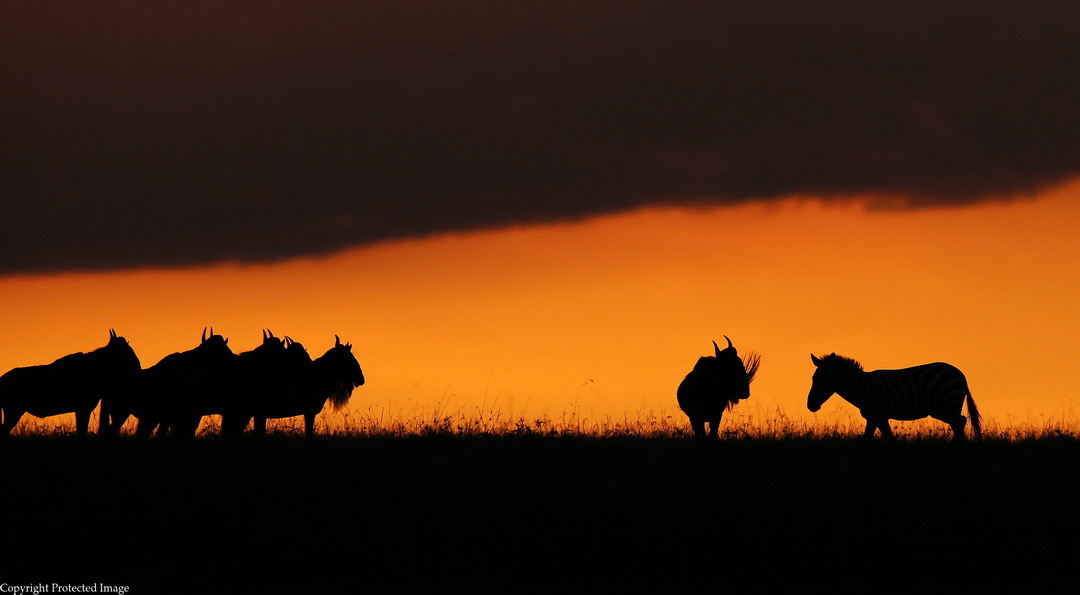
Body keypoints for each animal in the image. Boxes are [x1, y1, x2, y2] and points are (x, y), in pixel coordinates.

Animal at [812, 354, 980, 442]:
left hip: (946, 405)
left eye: (822, 379)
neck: (863, 388)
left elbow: (873, 439)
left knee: (959, 421)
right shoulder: (877, 417)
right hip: (946, 407)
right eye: (813, 378)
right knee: (959, 422)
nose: (810, 405)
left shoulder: (876, 414)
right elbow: (882, 438)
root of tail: (960, 374)